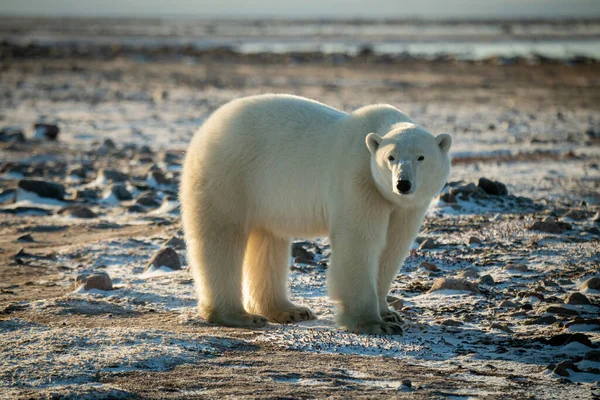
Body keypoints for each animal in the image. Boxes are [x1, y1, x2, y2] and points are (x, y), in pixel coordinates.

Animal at [180, 94, 452, 334]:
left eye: (421, 157)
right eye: (390, 157)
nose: (402, 184)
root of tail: (205, 129)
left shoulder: (406, 206)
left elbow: (393, 247)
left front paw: (388, 313)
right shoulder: (358, 179)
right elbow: (359, 243)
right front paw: (373, 324)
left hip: (263, 195)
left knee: (268, 243)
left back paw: (289, 310)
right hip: (229, 173)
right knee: (221, 239)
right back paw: (238, 315)